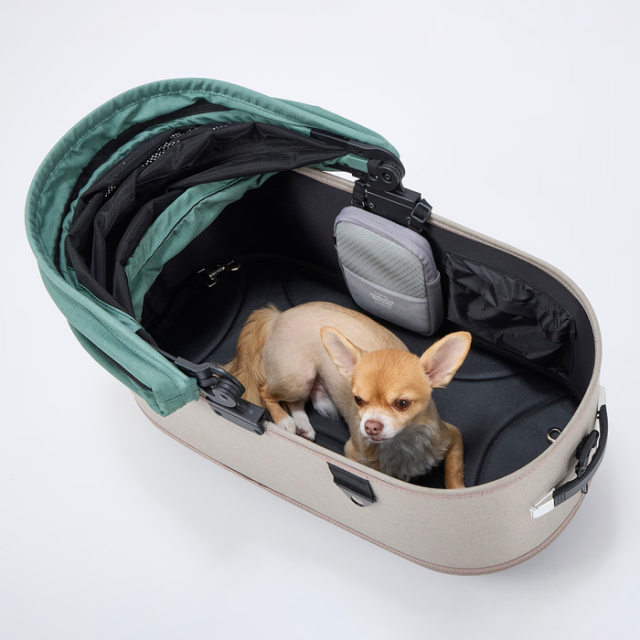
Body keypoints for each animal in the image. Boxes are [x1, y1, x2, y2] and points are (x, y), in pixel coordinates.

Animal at [225, 301, 471, 488]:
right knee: (265, 390)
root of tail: (278, 316)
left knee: (296, 403)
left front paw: (457, 493)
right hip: (296, 378)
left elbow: (454, 474)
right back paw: (284, 420)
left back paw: (303, 424)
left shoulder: (453, 437)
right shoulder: (353, 455)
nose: (371, 426)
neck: (402, 445)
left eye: (402, 403)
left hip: (303, 381)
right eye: (358, 400)